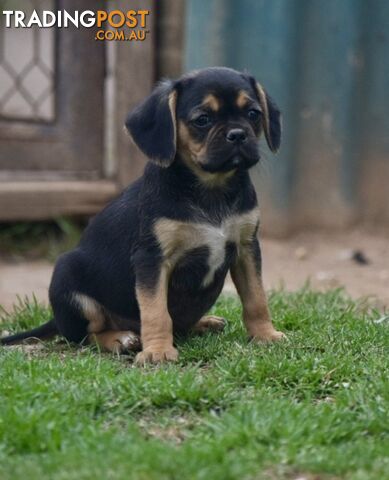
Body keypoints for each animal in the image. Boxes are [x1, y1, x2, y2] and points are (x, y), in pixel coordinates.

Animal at [0, 66, 284, 364]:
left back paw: (204, 322)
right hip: (67, 276)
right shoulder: (152, 259)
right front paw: (157, 351)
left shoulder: (246, 248)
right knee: (85, 336)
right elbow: (156, 311)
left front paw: (265, 335)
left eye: (253, 113)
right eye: (202, 120)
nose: (238, 134)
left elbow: (256, 299)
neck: (211, 188)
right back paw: (120, 339)